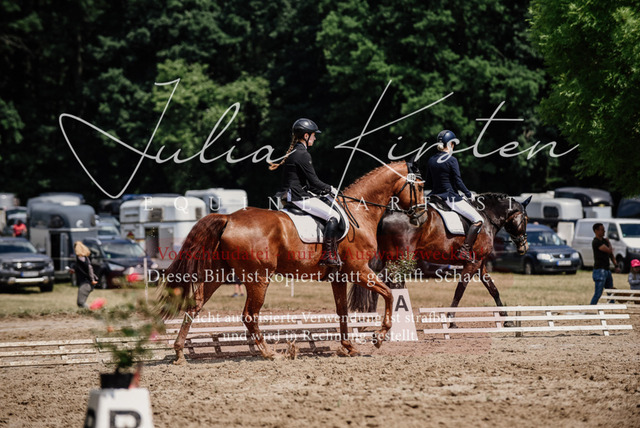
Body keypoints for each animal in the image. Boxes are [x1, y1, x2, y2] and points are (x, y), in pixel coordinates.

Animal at [160, 159, 425, 363]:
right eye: (420, 186)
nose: (420, 216)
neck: (360, 213)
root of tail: (229, 218)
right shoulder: (358, 270)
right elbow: (389, 294)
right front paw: (379, 337)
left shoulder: (339, 276)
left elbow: (342, 311)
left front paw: (349, 347)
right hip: (258, 278)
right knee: (249, 315)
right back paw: (271, 353)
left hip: (219, 274)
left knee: (195, 306)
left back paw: (180, 353)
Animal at [348, 193, 531, 324]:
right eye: (526, 219)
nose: (524, 247)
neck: (486, 218)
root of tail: (388, 213)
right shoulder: (473, 263)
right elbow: (460, 290)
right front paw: (451, 320)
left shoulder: (480, 264)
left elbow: (493, 289)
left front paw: (507, 320)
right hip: (400, 259)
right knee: (380, 280)